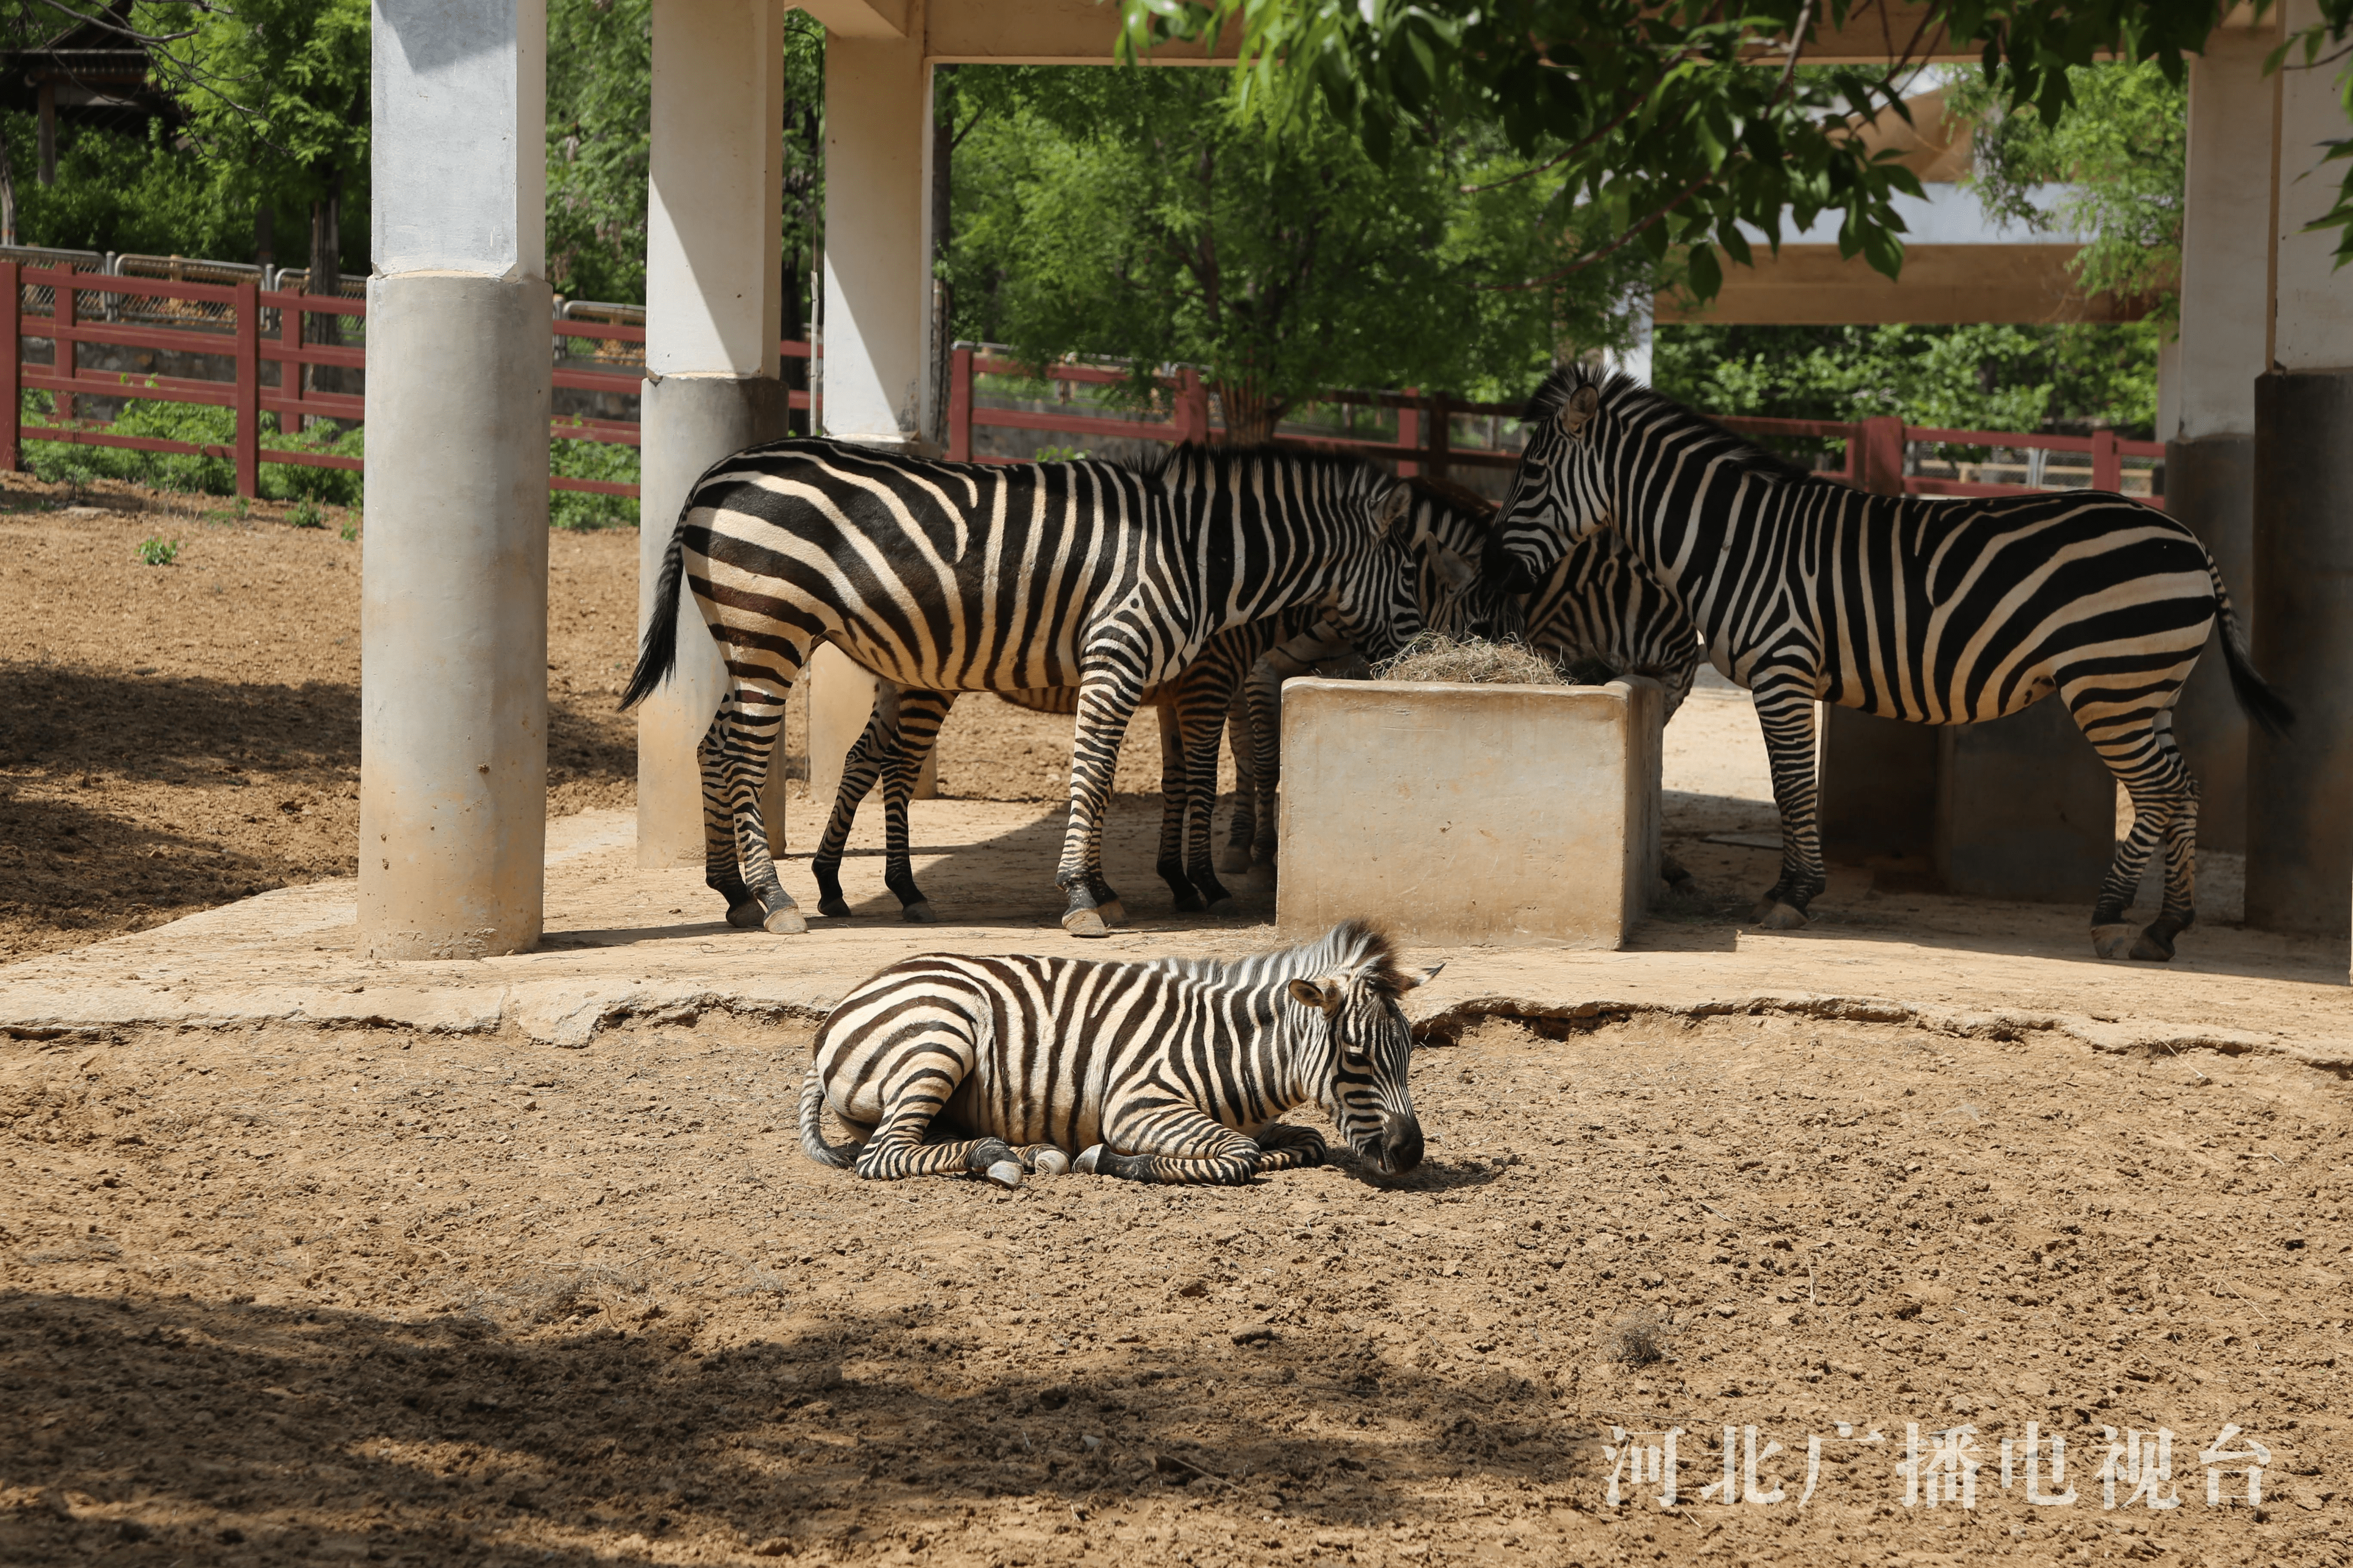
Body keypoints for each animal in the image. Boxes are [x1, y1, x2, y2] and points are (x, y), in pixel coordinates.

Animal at [616, 435, 1449, 940]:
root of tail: (716, 473)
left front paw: (1114, 888)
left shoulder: (1154, 677)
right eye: (1415, 576)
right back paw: (778, 899)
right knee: (746, 755)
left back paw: (733, 891)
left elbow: (1136, 781)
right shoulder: (1124, 656)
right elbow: (1097, 777)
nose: (1424, 660)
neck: (1197, 553)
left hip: (751, 636)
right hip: (769, 628)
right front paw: (1086, 898)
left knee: (715, 745)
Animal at [800, 921, 1430, 1189]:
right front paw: (1110, 1158)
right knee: (884, 1154)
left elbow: (1307, 1142)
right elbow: (1239, 1157)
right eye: (1355, 1057)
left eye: (1407, 1054)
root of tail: (848, 1000)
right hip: (940, 1034)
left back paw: (1027, 1151)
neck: (1235, 1048)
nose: (1410, 1154)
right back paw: (997, 1156)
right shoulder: (1137, 1105)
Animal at [1496, 369, 2287, 963]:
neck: (1731, 543)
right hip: (2145, 689)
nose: (1496, 573)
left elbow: (1791, 787)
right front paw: (1792, 889)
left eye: (1530, 473)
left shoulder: (1781, 668)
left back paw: (2112, 918)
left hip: (2108, 686)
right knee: (2182, 790)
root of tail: (2188, 539)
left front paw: (1791, 896)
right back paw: (2164, 927)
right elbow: (1793, 787)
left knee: (2158, 792)